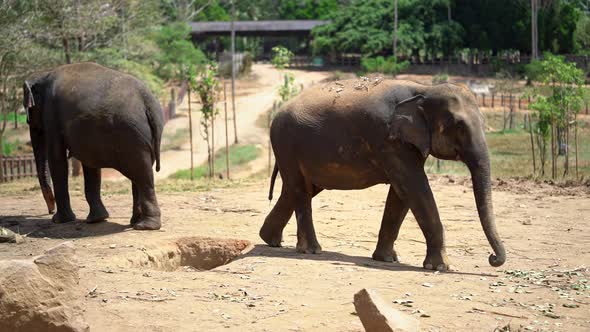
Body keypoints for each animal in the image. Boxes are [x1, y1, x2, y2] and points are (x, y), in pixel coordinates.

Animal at [23, 61, 164, 231]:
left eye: (29, 110)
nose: (49, 211)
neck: (44, 73)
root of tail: (147, 101)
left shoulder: (51, 115)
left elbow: (57, 158)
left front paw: (60, 220)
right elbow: (90, 165)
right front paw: (96, 219)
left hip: (131, 135)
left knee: (142, 175)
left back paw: (145, 226)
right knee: (140, 174)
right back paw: (135, 222)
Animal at [262, 78, 506, 270]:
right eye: (459, 125)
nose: (492, 258)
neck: (424, 89)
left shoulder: (406, 144)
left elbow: (401, 194)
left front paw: (387, 259)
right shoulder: (389, 141)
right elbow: (415, 187)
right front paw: (440, 267)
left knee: (297, 190)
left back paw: (271, 240)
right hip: (286, 143)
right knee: (299, 189)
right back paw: (311, 251)